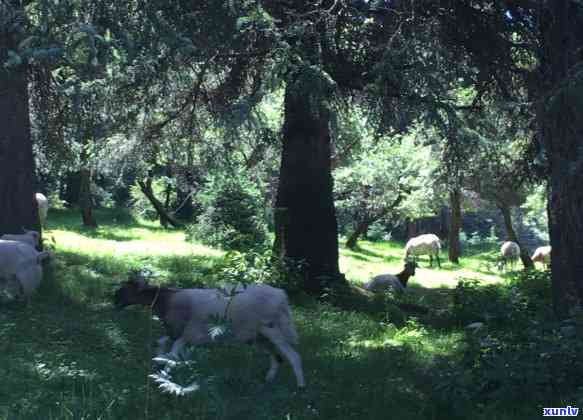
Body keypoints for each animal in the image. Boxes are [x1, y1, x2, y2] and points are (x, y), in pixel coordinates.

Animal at [113, 278, 306, 388]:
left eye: (123, 290)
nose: (114, 303)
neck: (166, 300)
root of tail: (282, 296)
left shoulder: (185, 334)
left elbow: (172, 356)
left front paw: (165, 376)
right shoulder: (176, 332)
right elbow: (162, 345)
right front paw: (160, 364)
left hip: (272, 328)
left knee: (293, 355)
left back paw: (300, 386)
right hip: (259, 336)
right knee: (277, 357)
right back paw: (269, 379)